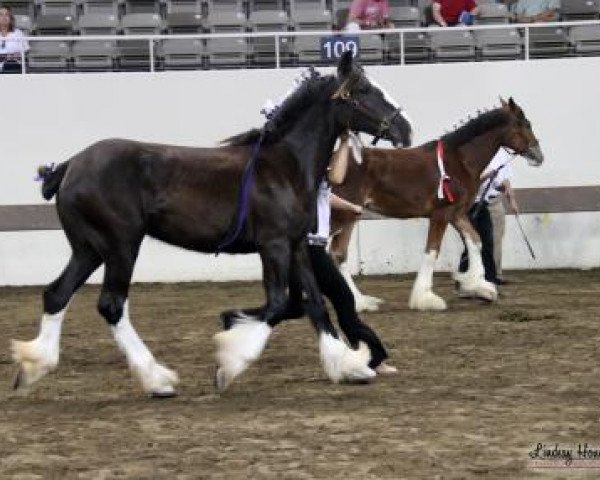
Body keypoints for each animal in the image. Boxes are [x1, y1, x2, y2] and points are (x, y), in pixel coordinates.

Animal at [11, 51, 412, 398]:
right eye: (364, 90)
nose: (405, 129)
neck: (284, 166)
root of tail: (69, 166)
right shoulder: (274, 245)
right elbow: (277, 304)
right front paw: (228, 364)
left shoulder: (297, 244)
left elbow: (314, 304)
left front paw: (348, 365)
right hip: (120, 246)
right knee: (111, 305)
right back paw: (157, 380)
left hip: (89, 248)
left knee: (56, 294)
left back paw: (33, 366)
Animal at [330, 99, 548, 314]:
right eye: (524, 124)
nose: (538, 156)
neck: (459, 161)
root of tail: (331, 166)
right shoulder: (441, 214)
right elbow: (432, 251)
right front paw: (426, 299)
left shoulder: (457, 214)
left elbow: (475, 240)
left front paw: (476, 286)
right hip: (344, 214)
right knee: (337, 253)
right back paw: (358, 303)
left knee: (338, 253)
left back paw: (361, 302)